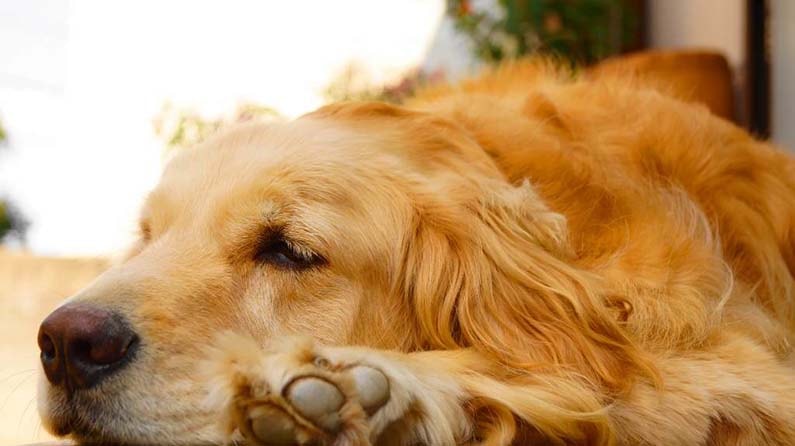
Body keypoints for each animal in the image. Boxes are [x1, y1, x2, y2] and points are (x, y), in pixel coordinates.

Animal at [37, 59, 795, 446]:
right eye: (149, 236)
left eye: (289, 252)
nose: (66, 342)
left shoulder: (741, 374)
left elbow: (573, 386)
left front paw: (368, 388)